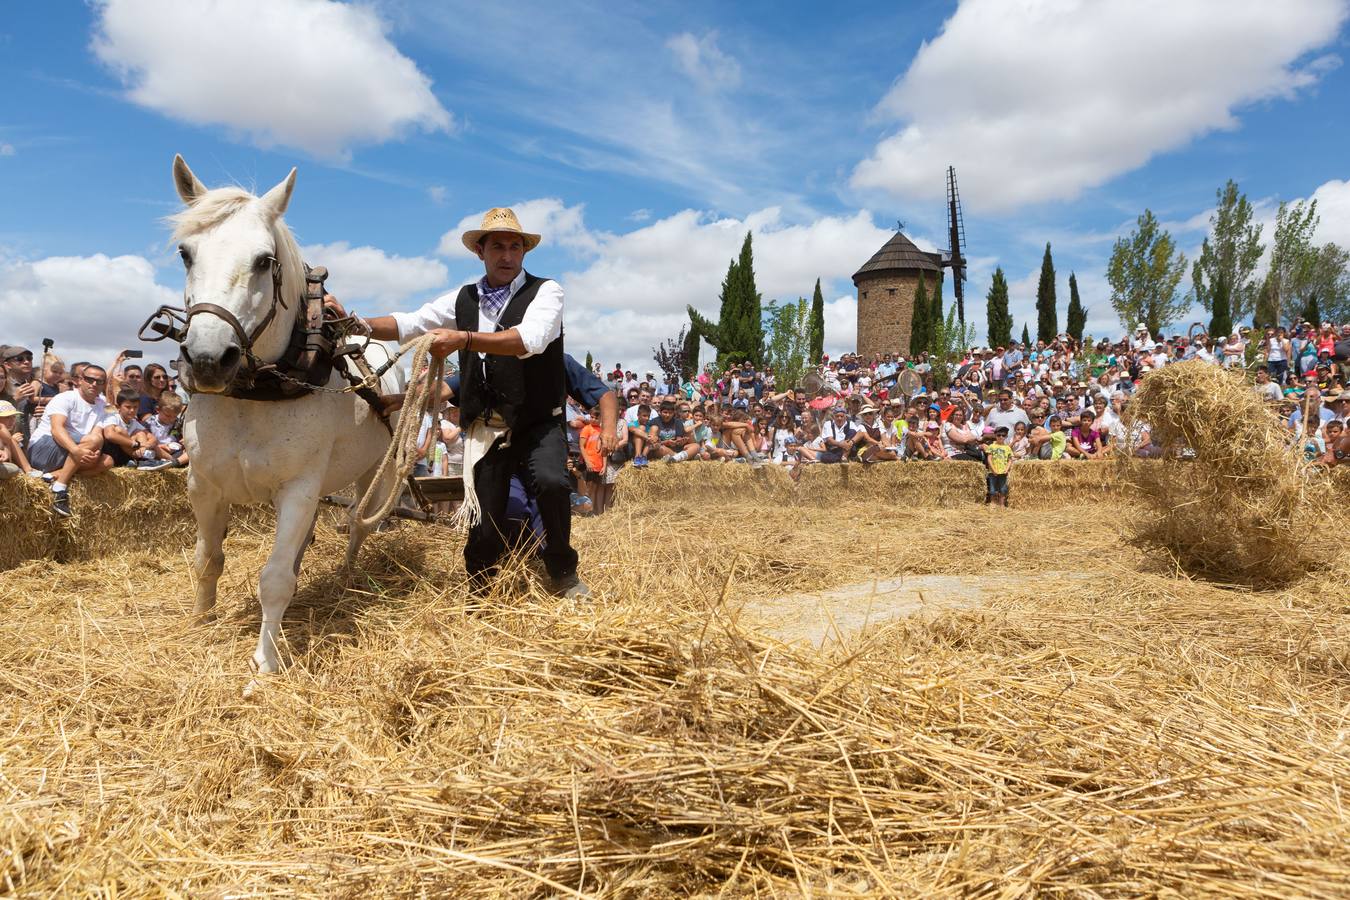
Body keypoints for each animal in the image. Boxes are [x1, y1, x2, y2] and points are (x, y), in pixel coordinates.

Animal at [170, 156, 399, 690]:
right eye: (186, 254)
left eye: (262, 260)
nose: (208, 359)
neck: (256, 392)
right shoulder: (203, 485)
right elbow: (207, 558)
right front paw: (200, 619)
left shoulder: (298, 487)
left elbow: (274, 579)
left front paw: (266, 660)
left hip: (373, 474)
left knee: (359, 526)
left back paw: (347, 576)